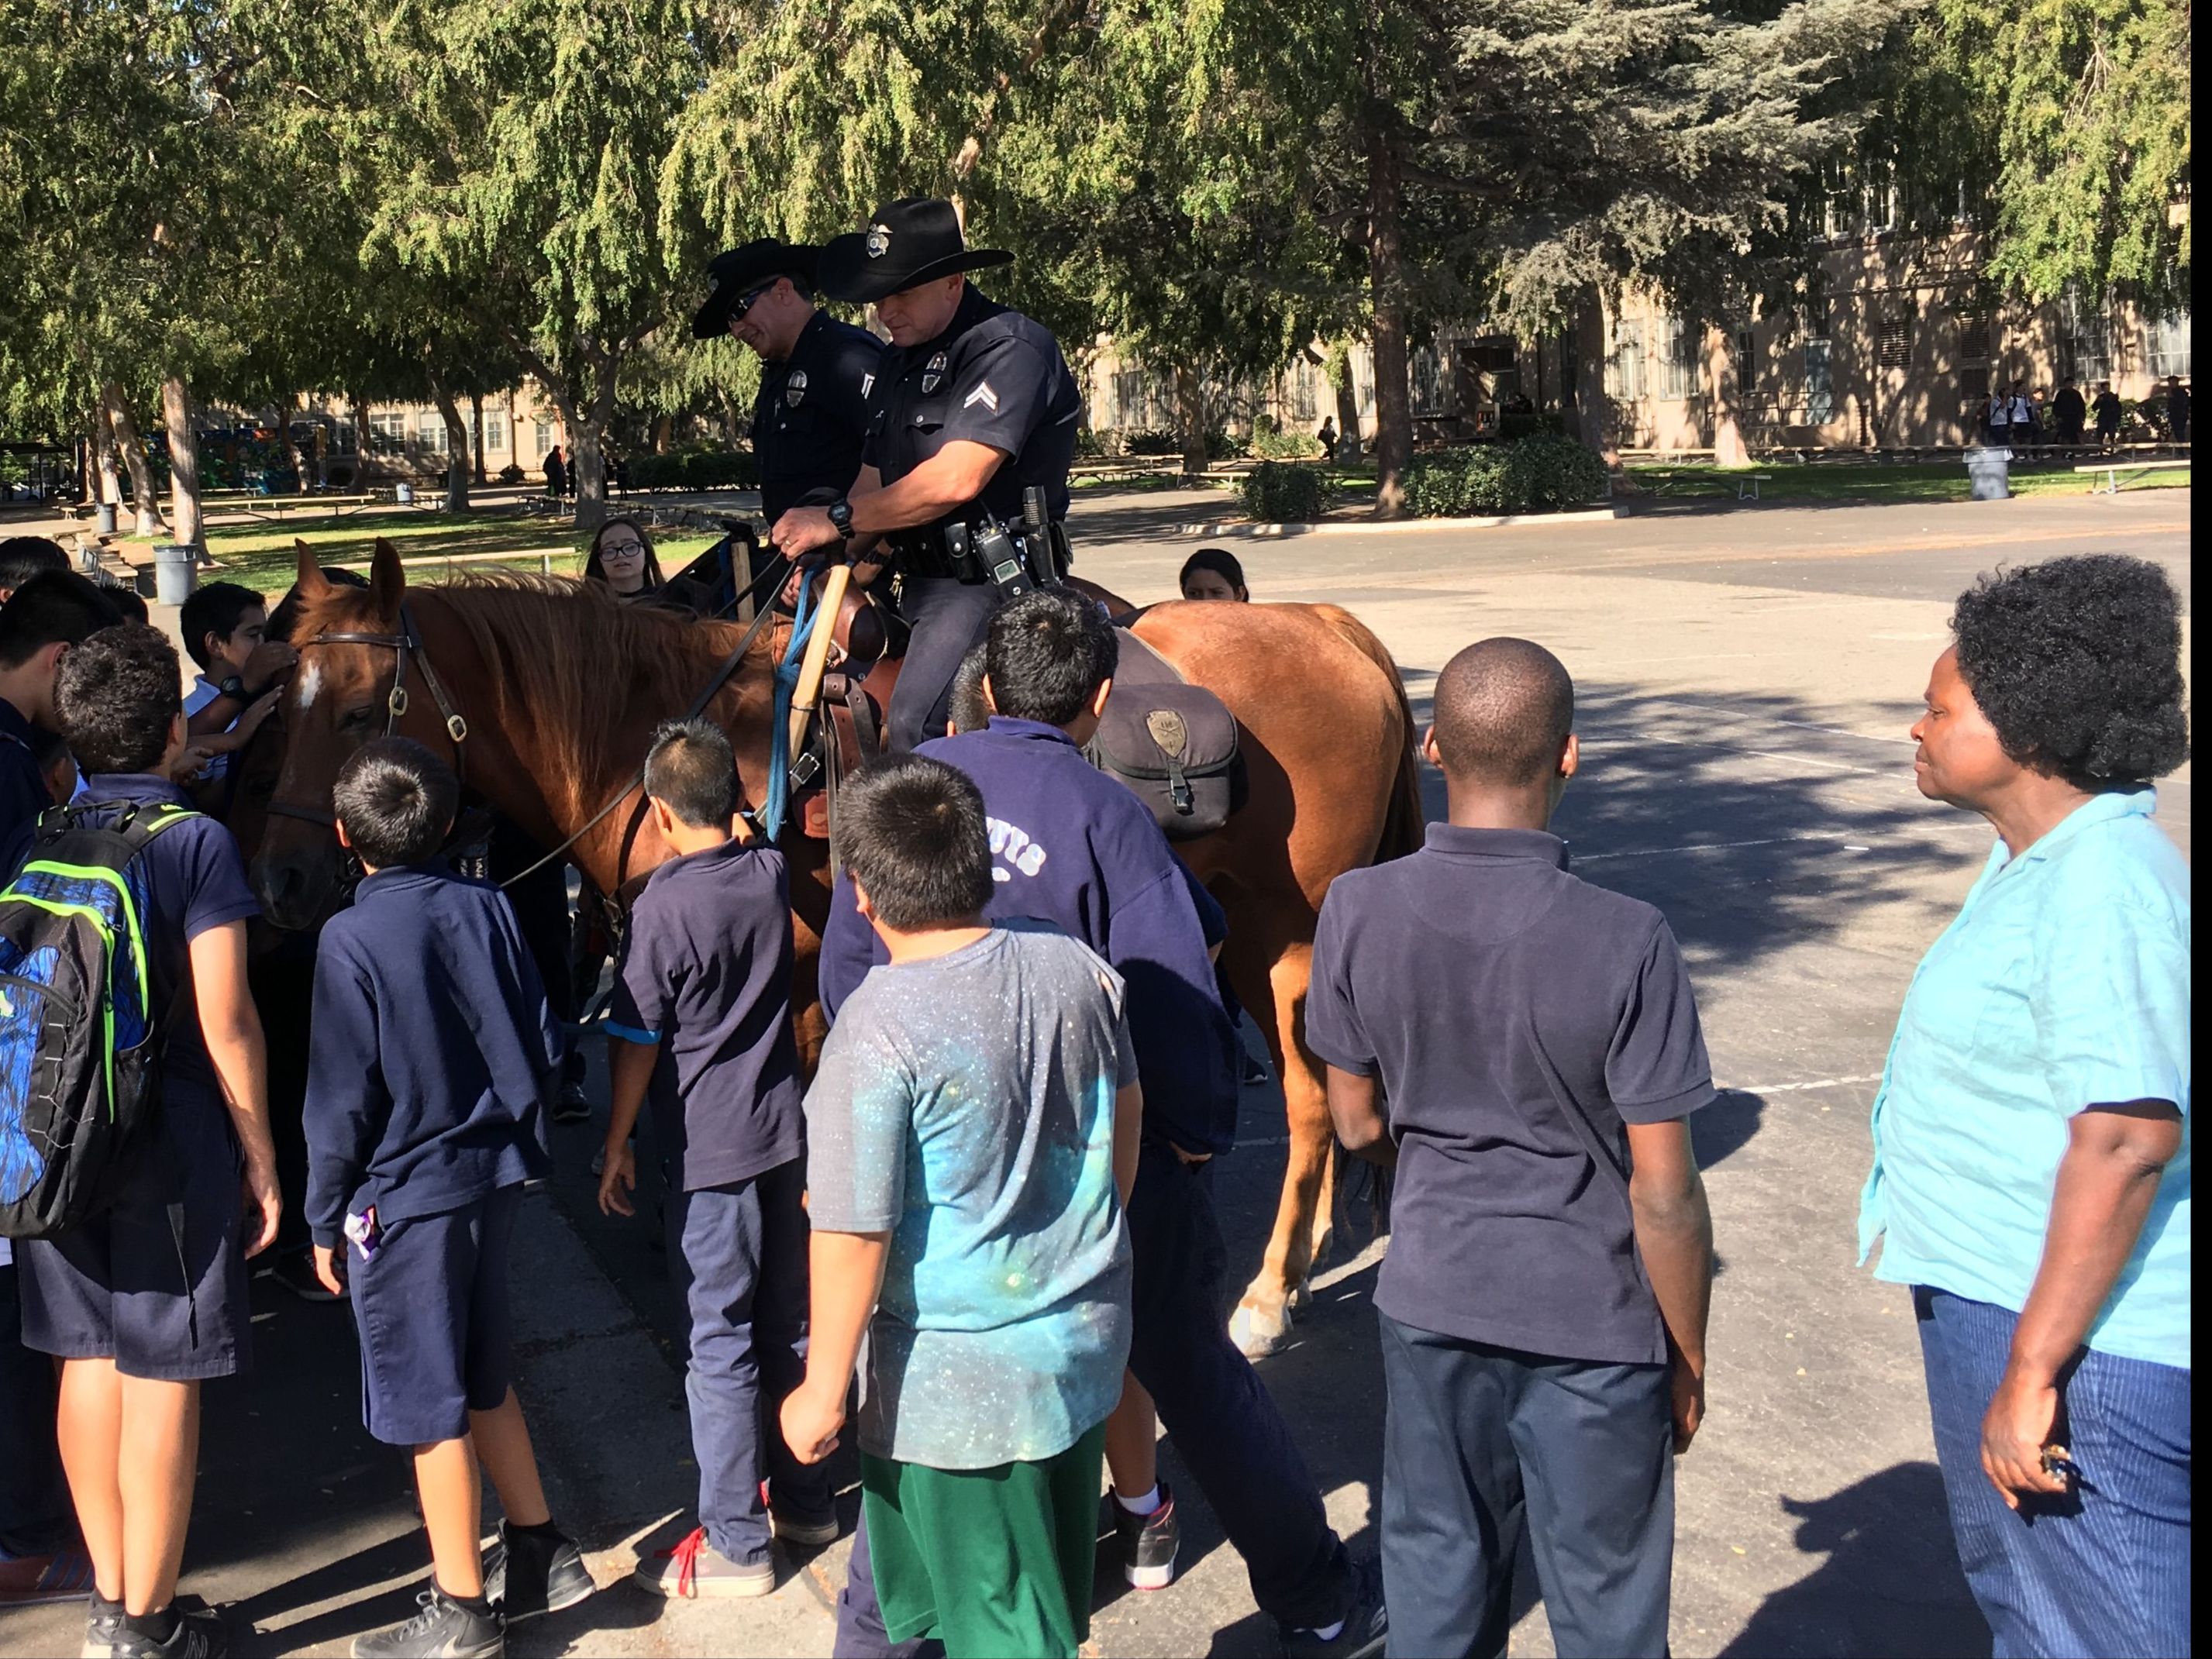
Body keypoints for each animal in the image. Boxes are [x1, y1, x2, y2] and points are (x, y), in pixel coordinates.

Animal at [254, 539, 1415, 1354]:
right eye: (280, 709)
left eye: (355, 712)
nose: (282, 880)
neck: (671, 735)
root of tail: (1330, 625)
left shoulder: (806, 985)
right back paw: (1301, 1261)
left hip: (1283, 931)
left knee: (1308, 1101)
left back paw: (1266, 1293)